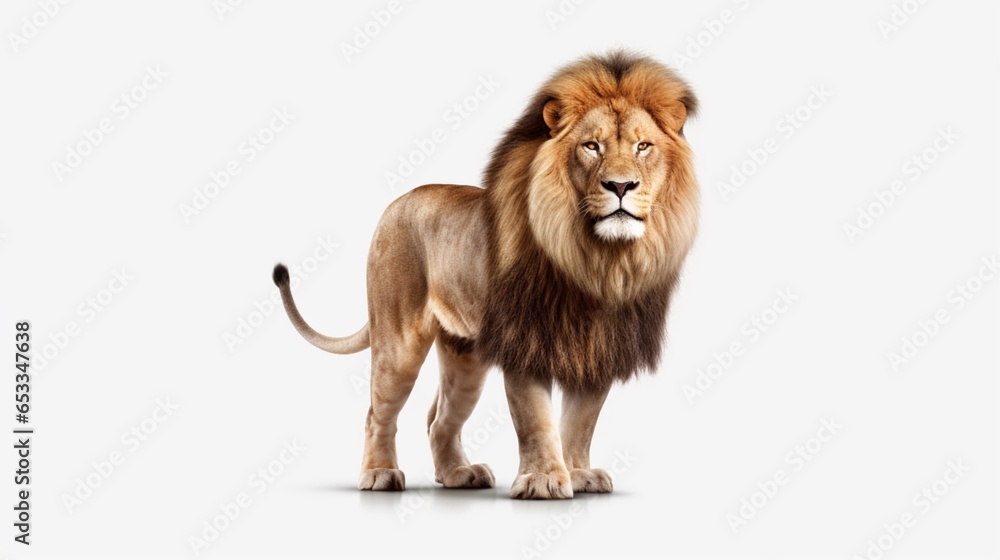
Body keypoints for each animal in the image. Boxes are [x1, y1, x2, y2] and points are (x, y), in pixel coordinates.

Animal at [272, 50, 698, 499]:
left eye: (643, 146)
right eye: (591, 146)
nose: (621, 185)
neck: (596, 260)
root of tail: (398, 201)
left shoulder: (598, 350)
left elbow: (581, 422)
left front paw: (578, 473)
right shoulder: (525, 342)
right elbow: (535, 419)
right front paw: (543, 479)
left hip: (465, 358)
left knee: (438, 419)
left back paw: (459, 474)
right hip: (398, 342)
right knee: (378, 412)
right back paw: (380, 474)